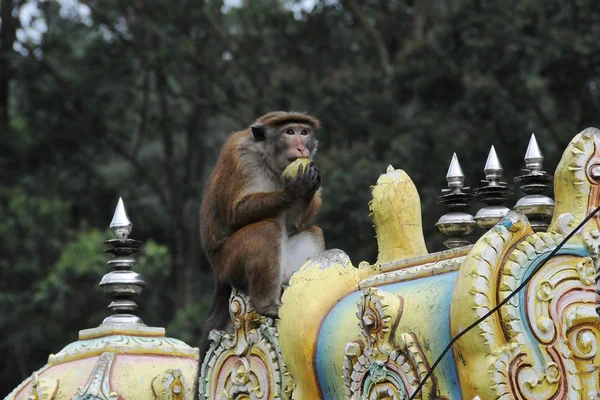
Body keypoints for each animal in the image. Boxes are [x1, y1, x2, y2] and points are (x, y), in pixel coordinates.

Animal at [198, 111, 326, 360]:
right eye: (290, 132)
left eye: (304, 132)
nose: (301, 148)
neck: (267, 158)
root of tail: (219, 275)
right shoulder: (242, 158)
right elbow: (236, 212)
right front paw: (294, 189)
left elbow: (296, 222)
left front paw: (310, 186)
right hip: (230, 263)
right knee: (265, 229)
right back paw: (266, 305)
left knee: (313, 232)